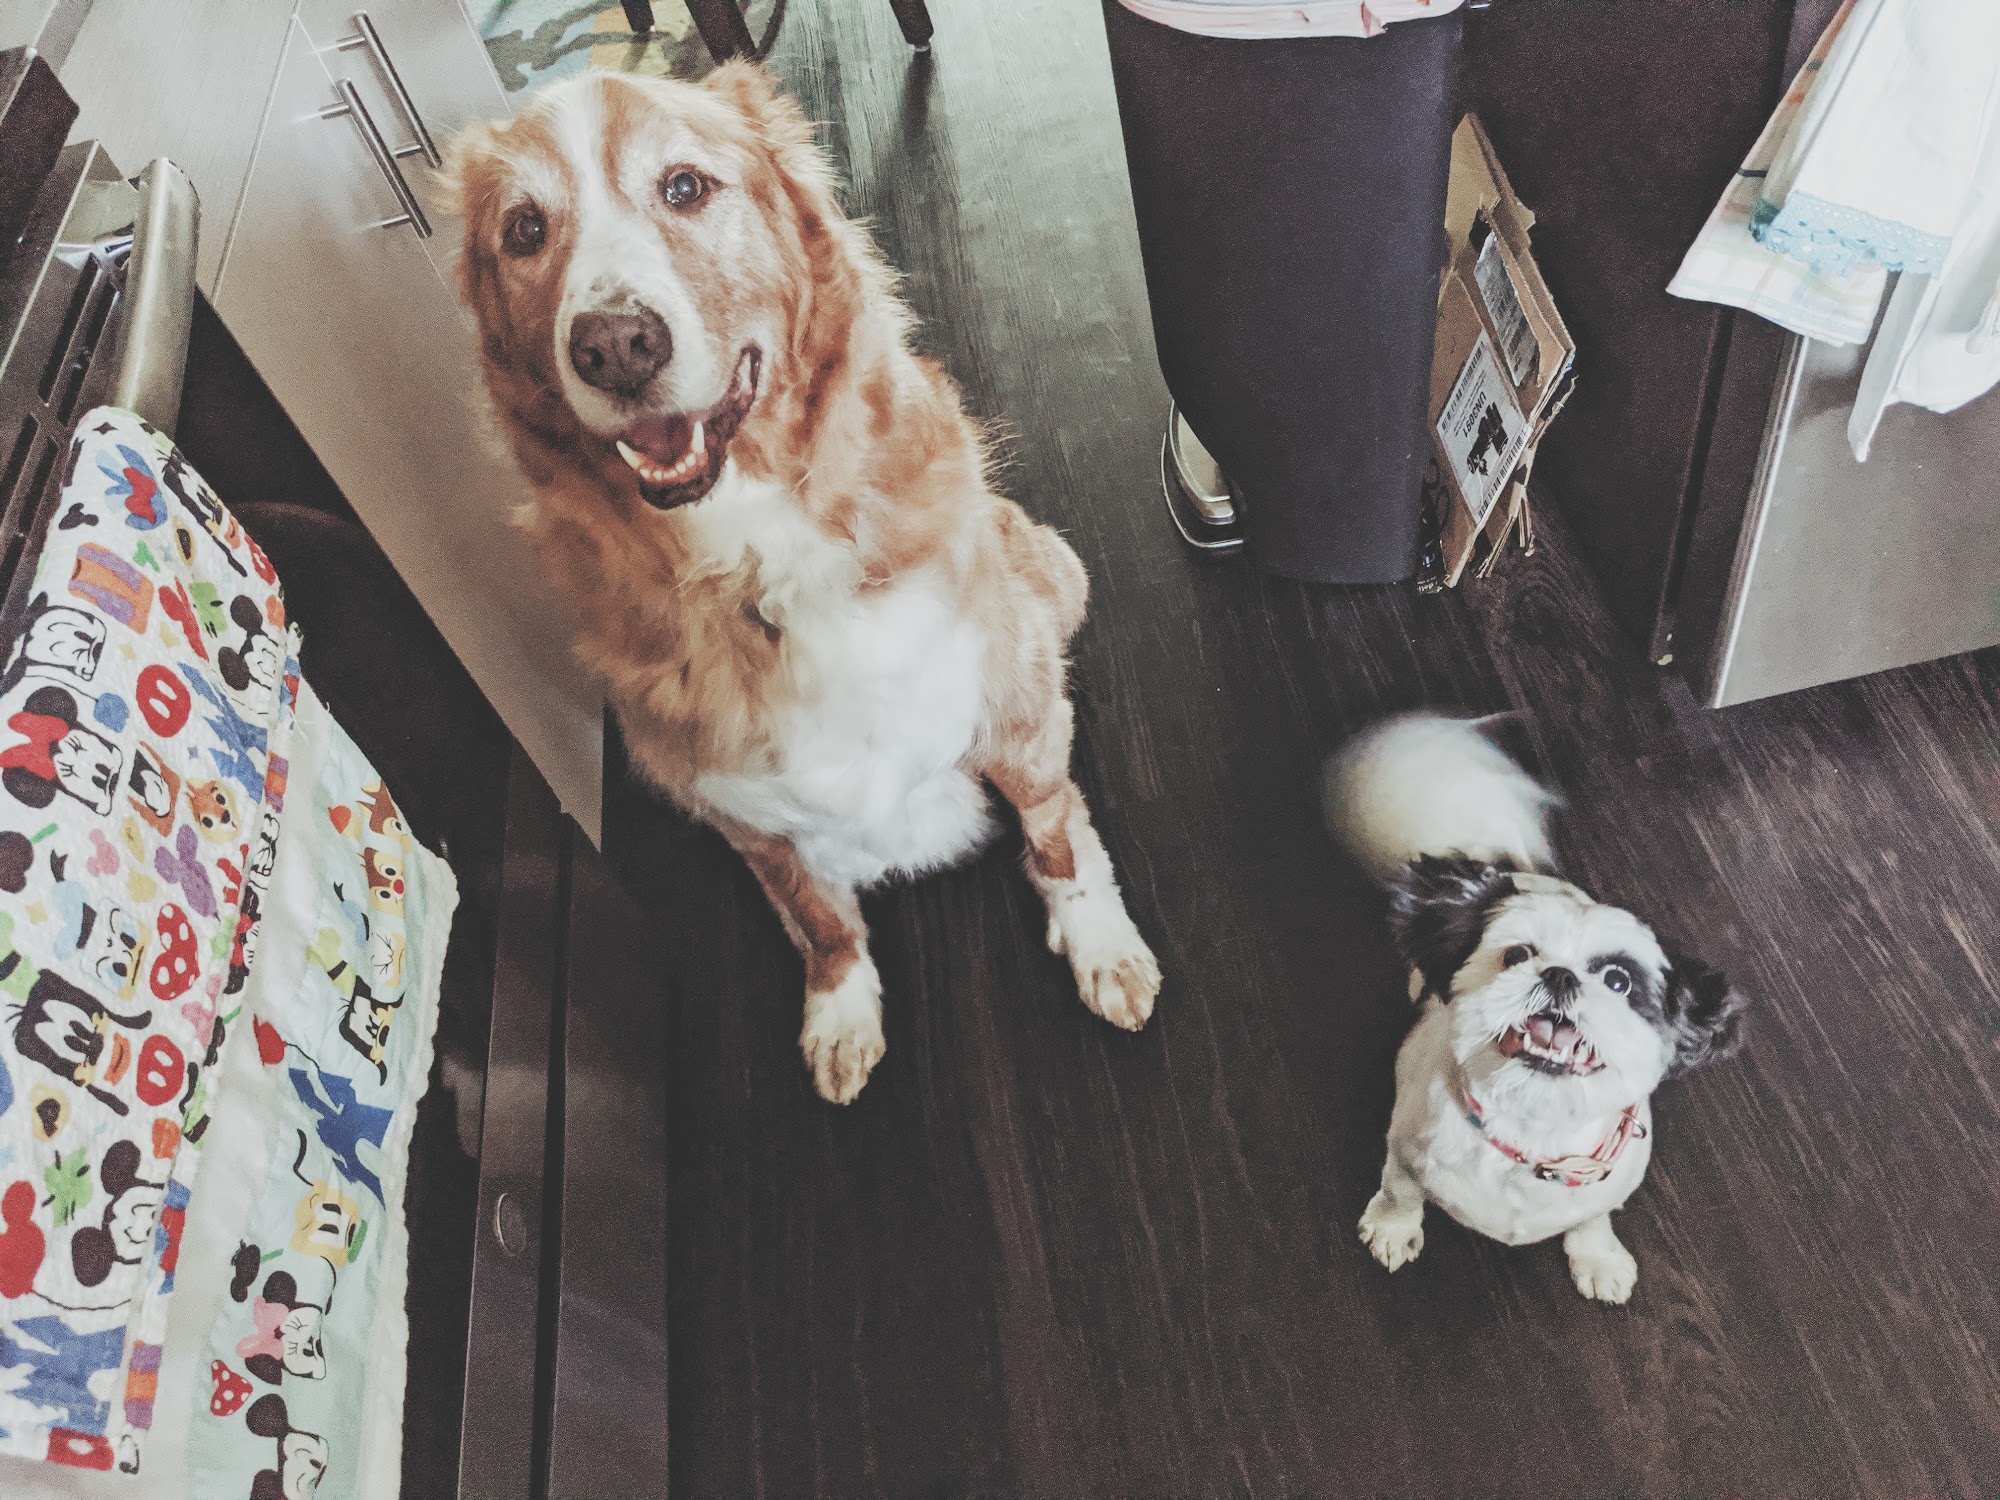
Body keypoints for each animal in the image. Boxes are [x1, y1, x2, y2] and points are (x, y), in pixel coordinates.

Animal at [444, 64, 1160, 1102]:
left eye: (686, 187)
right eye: (526, 231)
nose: (614, 346)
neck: (754, 555)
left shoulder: (1011, 703)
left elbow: (1055, 831)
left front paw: (1098, 940)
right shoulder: (741, 812)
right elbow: (819, 919)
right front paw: (843, 1008)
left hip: (1049, 580)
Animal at [1325, 714, 1746, 1301]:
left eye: (1618, 981)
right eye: (1518, 955)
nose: (1559, 974)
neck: (1532, 1132)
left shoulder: (1605, 1188)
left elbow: (1592, 1218)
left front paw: (1598, 1258)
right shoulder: (1405, 1150)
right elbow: (1399, 1190)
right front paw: (1393, 1228)